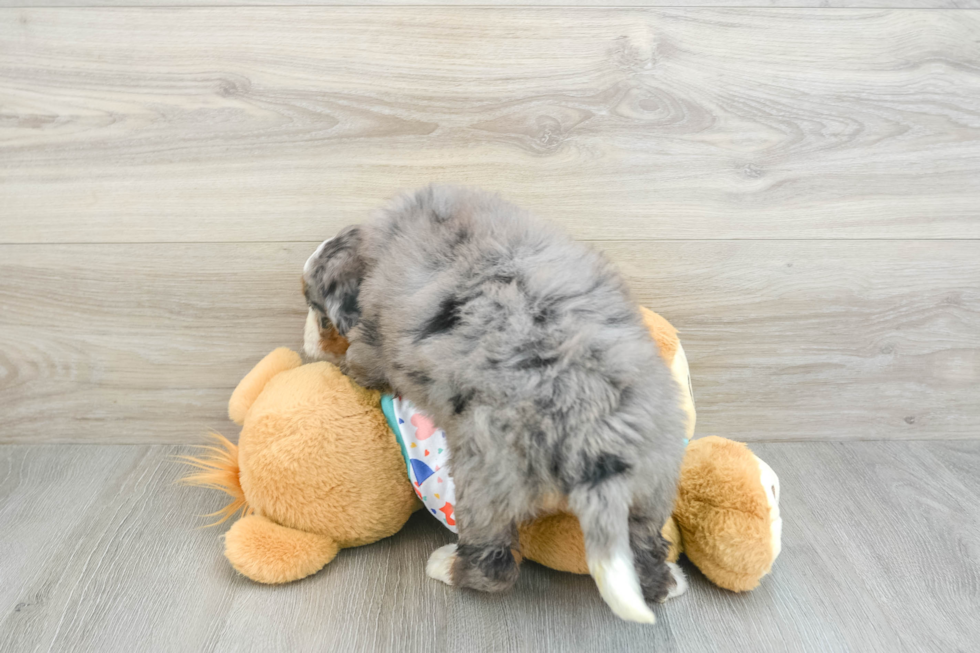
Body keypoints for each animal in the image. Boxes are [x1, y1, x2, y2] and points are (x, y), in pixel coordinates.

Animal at [302, 183, 684, 620]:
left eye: (314, 305)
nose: (306, 345)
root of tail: (596, 441)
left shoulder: (372, 346)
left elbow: (359, 361)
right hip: (653, 484)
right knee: (646, 548)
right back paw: (670, 583)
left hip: (484, 480)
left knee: (493, 567)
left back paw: (445, 566)